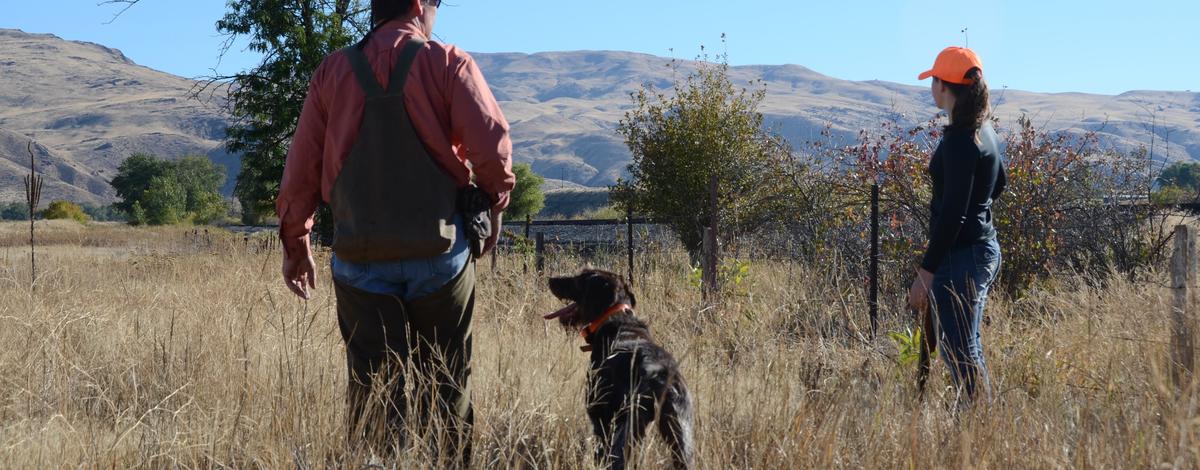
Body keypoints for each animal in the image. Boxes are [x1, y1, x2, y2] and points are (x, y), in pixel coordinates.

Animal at [544, 268, 696, 470]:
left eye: (579, 278)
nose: (550, 279)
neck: (617, 319)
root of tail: (658, 373)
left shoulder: (601, 418)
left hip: (625, 427)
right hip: (681, 436)